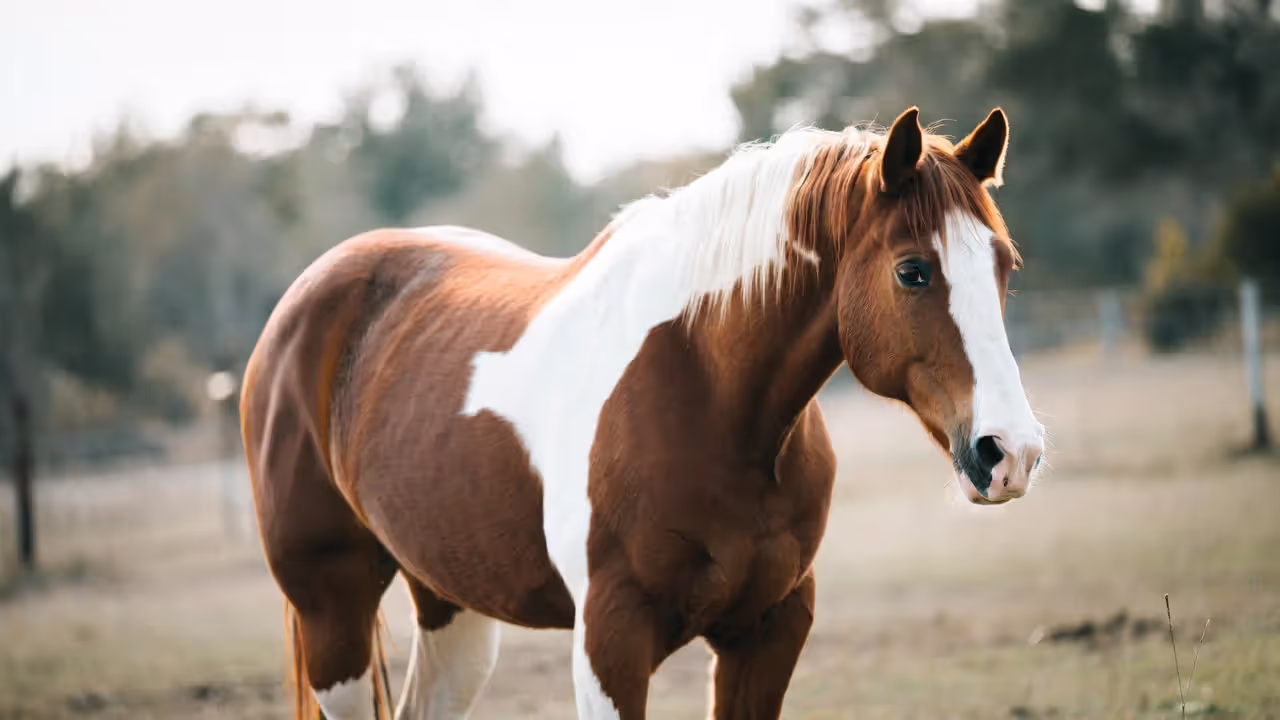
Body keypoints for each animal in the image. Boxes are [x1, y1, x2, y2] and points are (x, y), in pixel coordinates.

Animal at [239, 105, 1045, 720]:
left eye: (1005, 266)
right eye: (913, 271)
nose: (1011, 452)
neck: (711, 399)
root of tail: (301, 303)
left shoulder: (768, 631)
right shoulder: (610, 640)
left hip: (449, 603)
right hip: (332, 613)